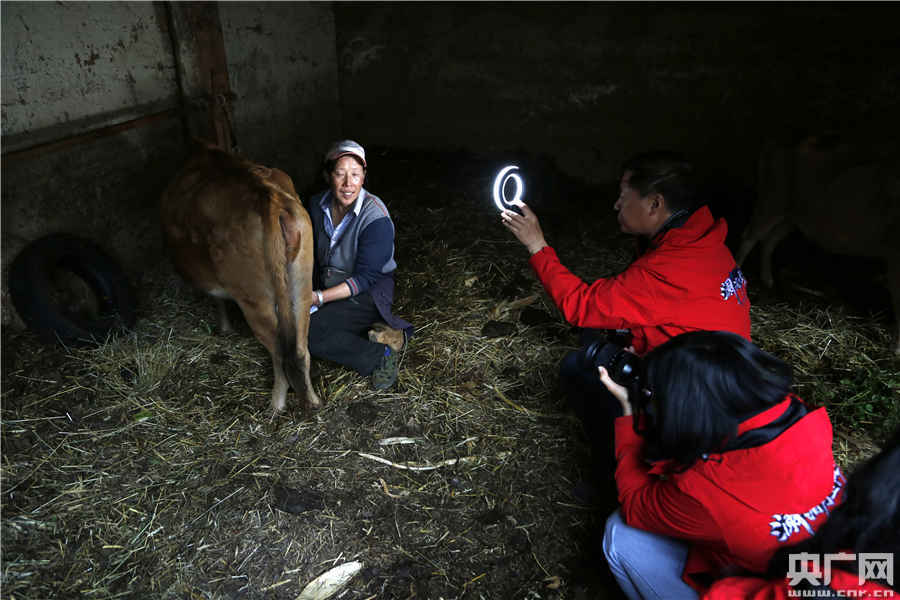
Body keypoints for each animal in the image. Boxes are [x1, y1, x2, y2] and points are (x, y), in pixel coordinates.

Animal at [160, 142, 321, 412]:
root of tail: (266, 195)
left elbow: (217, 299)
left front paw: (224, 327)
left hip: (255, 300)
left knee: (279, 353)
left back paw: (275, 406)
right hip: (301, 283)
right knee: (301, 349)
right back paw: (312, 401)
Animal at [736, 135, 900, 355]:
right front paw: (896, 347)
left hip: (792, 214)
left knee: (770, 240)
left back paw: (768, 280)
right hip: (772, 199)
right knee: (749, 237)